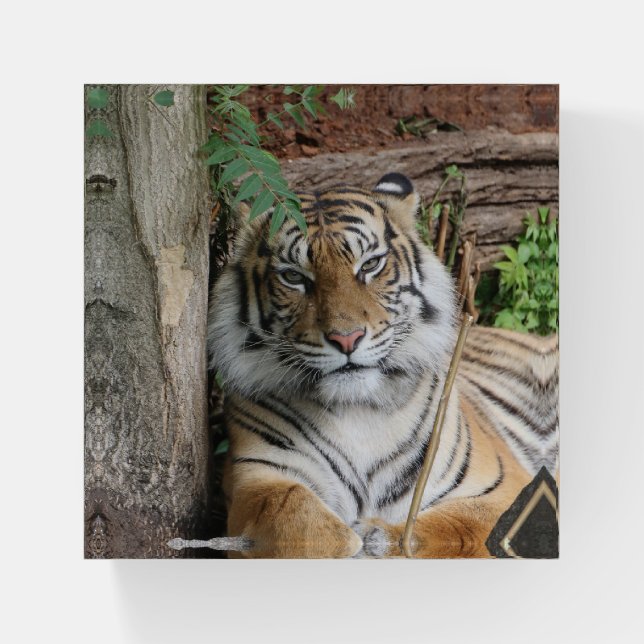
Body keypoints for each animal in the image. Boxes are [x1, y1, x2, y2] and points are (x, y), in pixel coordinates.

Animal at [207, 172, 559, 558]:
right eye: (294, 277)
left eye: (370, 265)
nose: (346, 339)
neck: (358, 413)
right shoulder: (255, 476)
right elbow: (291, 510)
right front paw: (348, 537)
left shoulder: (502, 488)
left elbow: (451, 527)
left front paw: (378, 534)